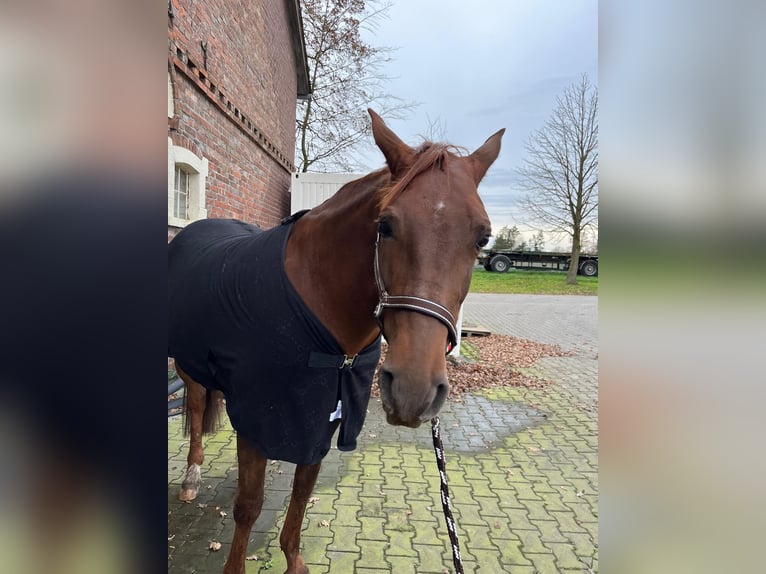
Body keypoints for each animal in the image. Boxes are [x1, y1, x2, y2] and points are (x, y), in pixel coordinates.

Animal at [168, 109, 504, 574]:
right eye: (386, 225)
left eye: (482, 237)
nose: (414, 391)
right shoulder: (258, 416)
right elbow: (249, 506)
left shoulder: (322, 417)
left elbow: (302, 491)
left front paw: (293, 558)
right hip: (187, 366)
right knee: (198, 407)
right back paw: (191, 477)